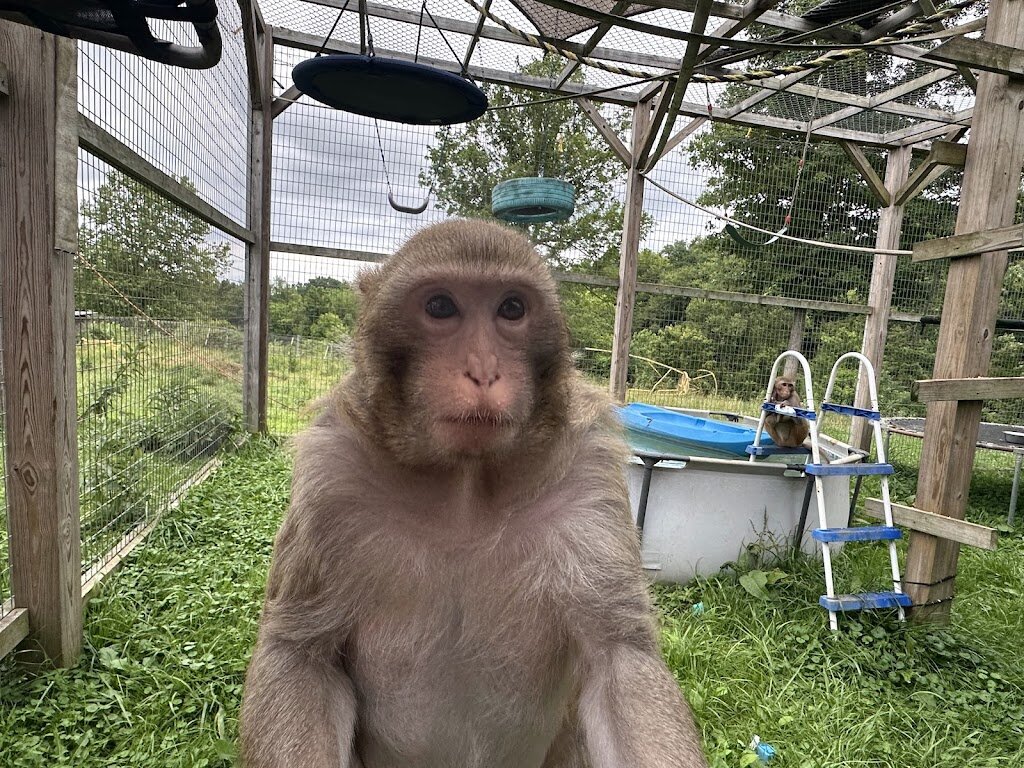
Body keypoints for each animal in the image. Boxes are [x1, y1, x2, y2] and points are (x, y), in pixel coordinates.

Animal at [239, 219, 708, 768]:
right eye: (441, 306)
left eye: (512, 308)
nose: (484, 370)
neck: (465, 491)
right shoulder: (332, 479)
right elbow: (300, 655)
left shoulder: (587, 477)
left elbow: (621, 659)